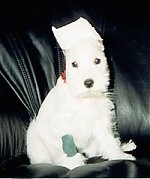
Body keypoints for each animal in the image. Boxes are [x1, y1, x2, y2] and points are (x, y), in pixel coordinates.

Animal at [26, 16, 136, 169]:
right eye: (74, 64)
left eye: (97, 60)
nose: (88, 83)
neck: (84, 99)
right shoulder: (64, 125)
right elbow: (68, 148)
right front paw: (74, 165)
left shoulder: (101, 120)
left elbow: (108, 139)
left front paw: (119, 155)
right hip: (36, 141)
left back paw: (125, 146)